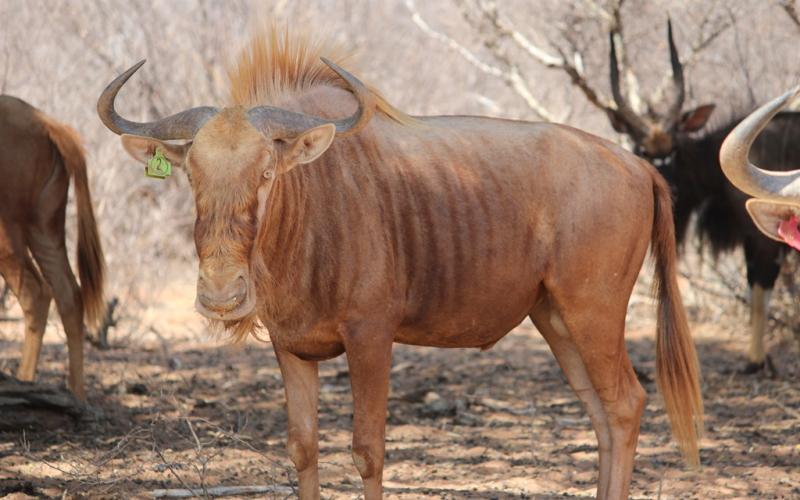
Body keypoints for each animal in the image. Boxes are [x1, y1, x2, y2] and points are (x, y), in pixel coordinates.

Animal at [0, 95, 105, 400]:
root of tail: (46, 123)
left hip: (9, 234)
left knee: (35, 293)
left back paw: (24, 384)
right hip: (44, 231)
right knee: (69, 294)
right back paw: (77, 397)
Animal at [96, 28, 701, 499]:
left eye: (266, 171)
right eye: (191, 175)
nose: (222, 295)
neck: (311, 205)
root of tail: (637, 167)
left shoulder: (372, 339)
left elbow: (368, 451)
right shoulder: (292, 348)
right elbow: (303, 448)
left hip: (593, 315)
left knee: (625, 405)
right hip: (557, 321)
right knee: (601, 415)